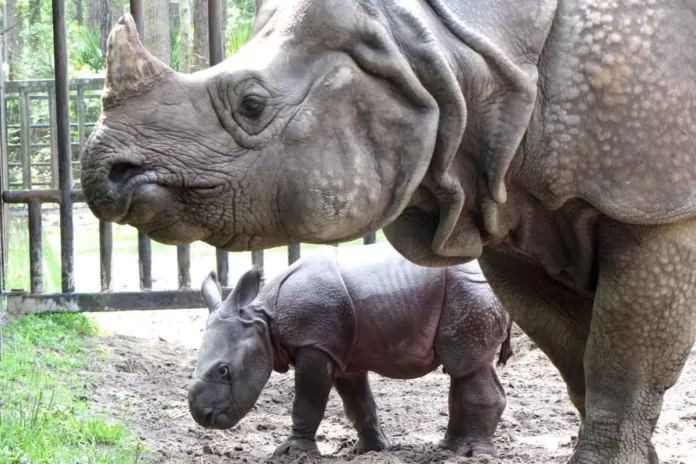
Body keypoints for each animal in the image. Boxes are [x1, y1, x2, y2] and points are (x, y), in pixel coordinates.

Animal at [188, 246, 512, 457]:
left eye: (224, 371)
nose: (204, 416)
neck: (264, 319)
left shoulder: (315, 344)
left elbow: (308, 401)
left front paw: (293, 453)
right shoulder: (341, 353)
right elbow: (358, 403)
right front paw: (371, 450)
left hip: (471, 294)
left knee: (467, 366)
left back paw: (476, 454)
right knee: (462, 370)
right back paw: (449, 449)